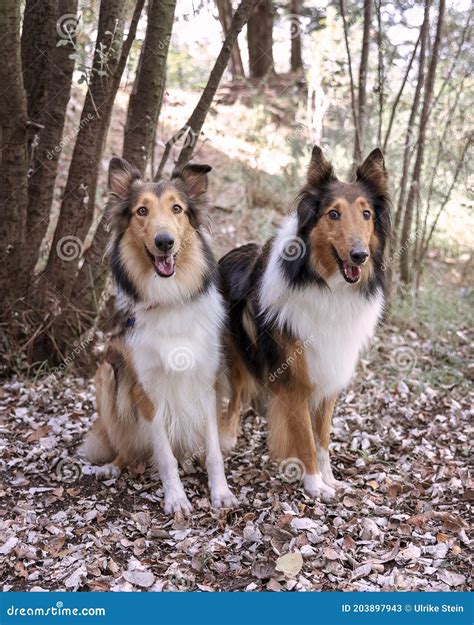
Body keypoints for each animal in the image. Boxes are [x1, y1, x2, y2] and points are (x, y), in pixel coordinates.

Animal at [82, 158, 237, 516]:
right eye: (142, 211)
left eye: (177, 208)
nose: (164, 241)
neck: (169, 300)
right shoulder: (147, 390)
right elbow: (165, 455)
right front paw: (176, 498)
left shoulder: (206, 381)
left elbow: (214, 450)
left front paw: (220, 492)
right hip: (107, 374)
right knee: (126, 446)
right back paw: (113, 465)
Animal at [218, 146, 388, 502]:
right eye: (333, 214)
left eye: (366, 214)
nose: (359, 256)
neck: (326, 286)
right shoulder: (295, 379)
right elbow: (306, 438)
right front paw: (314, 484)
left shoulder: (329, 372)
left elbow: (322, 437)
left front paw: (330, 479)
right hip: (237, 352)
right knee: (237, 392)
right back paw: (226, 436)